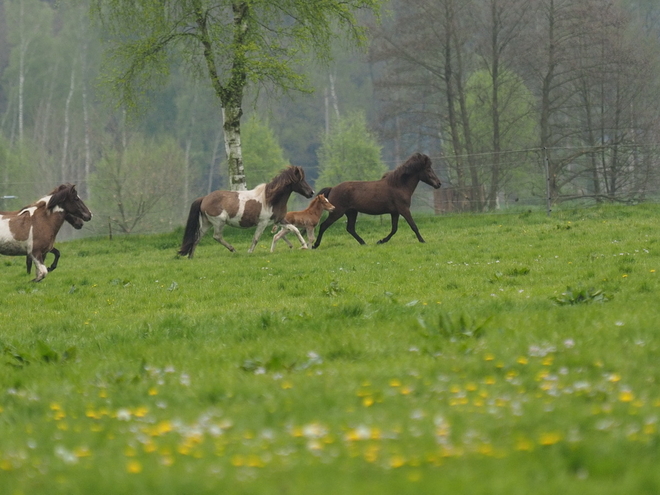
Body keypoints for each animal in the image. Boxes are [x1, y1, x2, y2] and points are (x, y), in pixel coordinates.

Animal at [179, 168, 316, 260]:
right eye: (300, 180)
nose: (312, 192)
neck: (270, 199)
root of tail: (204, 198)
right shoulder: (263, 223)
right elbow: (256, 238)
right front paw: (249, 252)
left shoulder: (280, 220)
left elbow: (294, 229)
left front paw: (303, 246)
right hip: (218, 222)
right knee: (216, 236)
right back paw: (233, 250)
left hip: (207, 223)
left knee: (197, 237)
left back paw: (191, 257)